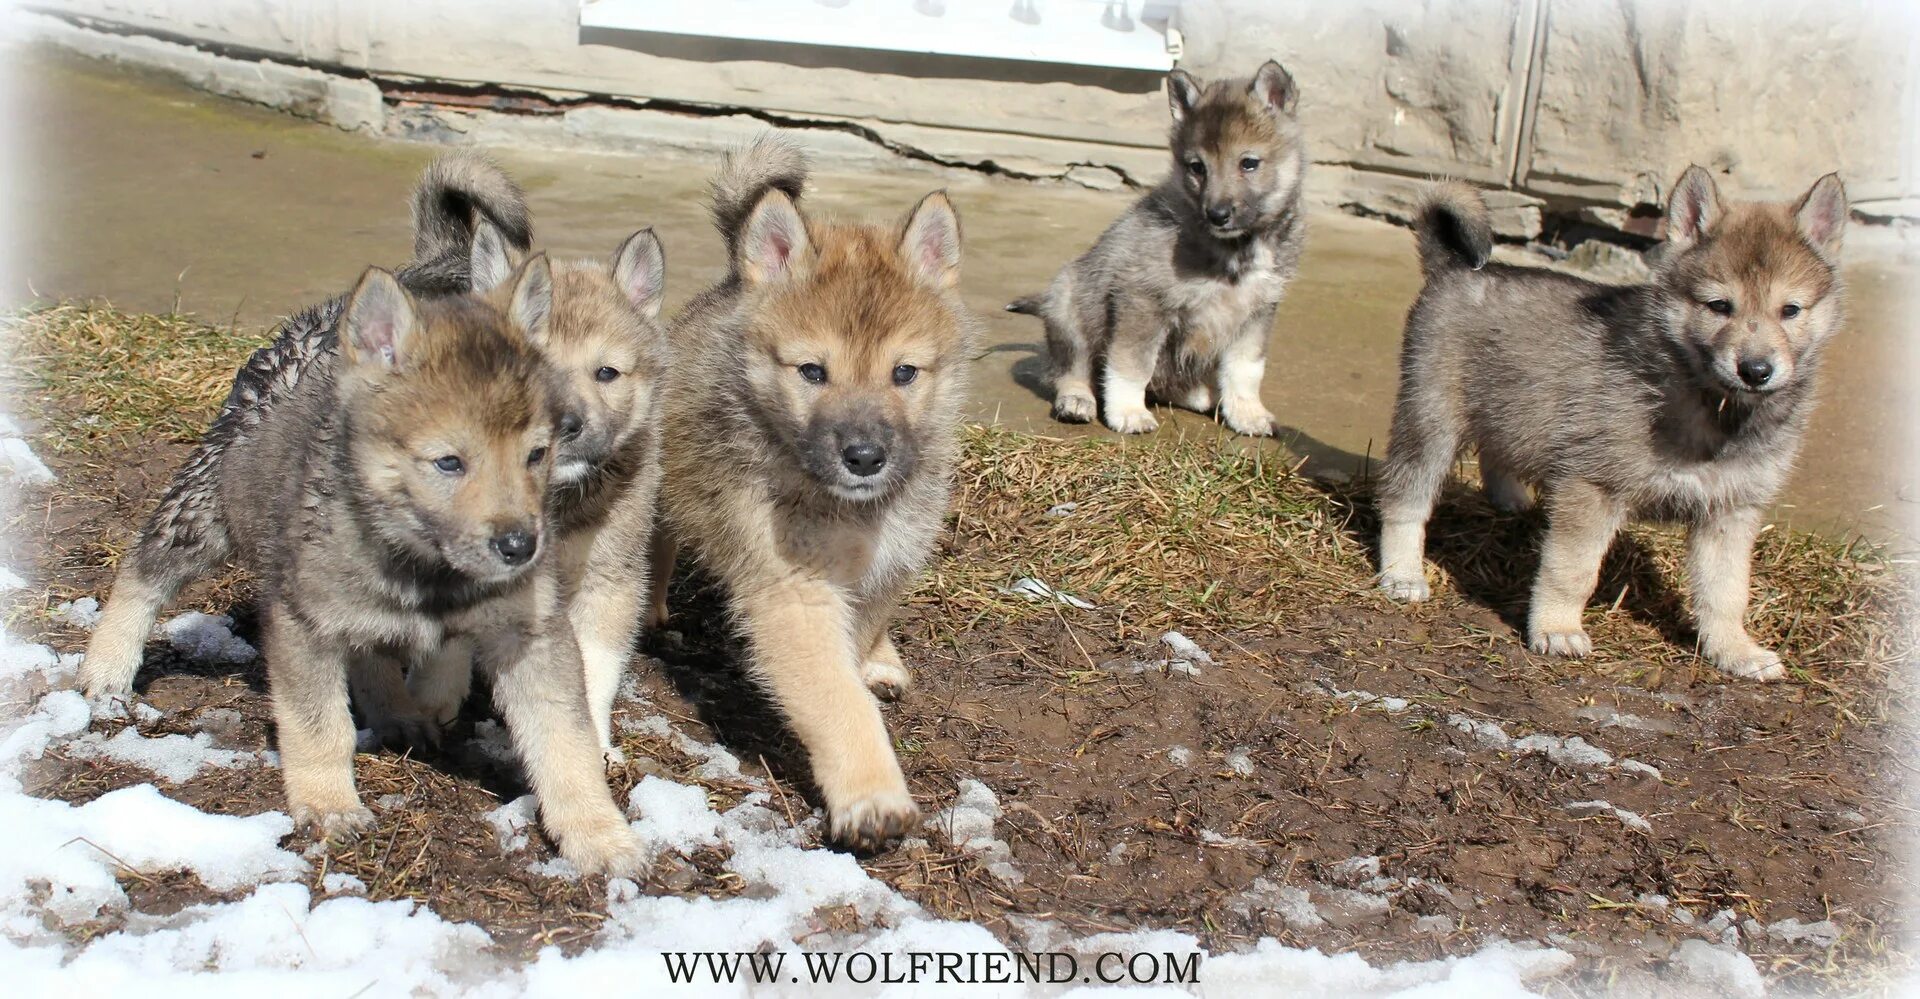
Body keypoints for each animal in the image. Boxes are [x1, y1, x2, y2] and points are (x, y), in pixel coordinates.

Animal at [80, 249, 645, 876]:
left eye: (537, 454)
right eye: (449, 463)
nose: (521, 547)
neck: (425, 564)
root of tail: (325, 325)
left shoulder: (532, 635)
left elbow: (567, 744)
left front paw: (599, 834)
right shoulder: (302, 623)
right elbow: (320, 726)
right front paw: (329, 804)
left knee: (369, 651)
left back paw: (398, 713)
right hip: (202, 511)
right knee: (141, 571)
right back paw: (105, 669)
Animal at [648, 134, 975, 849]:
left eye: (904, 373)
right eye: (812, 373)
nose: (865, 458)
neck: (845, 509)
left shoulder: (892, 556)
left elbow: (864, 634)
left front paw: (874, 662)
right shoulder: (792, 594)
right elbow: (837, 699)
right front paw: (872, 797)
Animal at [1006, 60, 1305, 434]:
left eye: (1249, 163)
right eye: (1197, 167)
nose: (1217, 214)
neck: (1234, 249)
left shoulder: (1257, 313)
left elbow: (1246, 370)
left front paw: (1247, 413)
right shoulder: (1142, 301)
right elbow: (1132, 365)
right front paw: (1128, 412)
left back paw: (1203, 395)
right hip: (1067, 308)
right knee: (1070, 370)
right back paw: (1076, 400)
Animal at [1382, 168, 1843, 683]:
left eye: (1791, 310)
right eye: (1719, 306)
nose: (1757, 370)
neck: (1710, 403)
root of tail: (1454, 268)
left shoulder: (1730, 511)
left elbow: (1726, 593)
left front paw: (1734, 650)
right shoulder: (1592, 489)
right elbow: (1573, 570)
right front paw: (1557, 628)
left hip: (1509, 405)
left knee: (1496, 448)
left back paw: (1510, 499)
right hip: (1431, 423)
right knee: (1405, 499)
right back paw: (1402, 574)